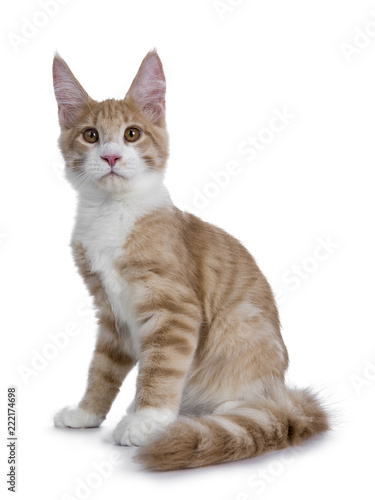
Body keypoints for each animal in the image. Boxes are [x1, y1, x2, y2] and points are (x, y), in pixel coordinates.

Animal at [53, 51, 328, 472]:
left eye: (131, 134)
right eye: (91, 136)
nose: (111, 156)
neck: (112, 214)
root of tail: (282, 391)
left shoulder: (174, 309)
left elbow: (161, 369)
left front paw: (146, 421)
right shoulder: (110, 314)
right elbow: (102, 369)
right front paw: (87, 413)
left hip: (240, 326)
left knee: (255, 405)